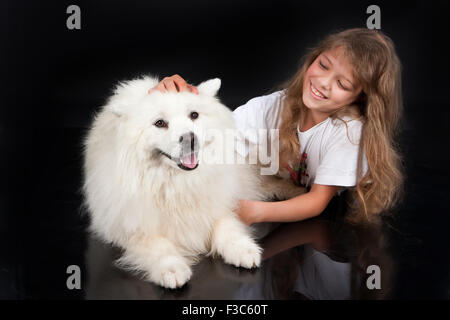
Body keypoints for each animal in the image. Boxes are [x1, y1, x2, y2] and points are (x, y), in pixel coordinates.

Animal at [82, 76, 304, 288]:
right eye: (160, 123)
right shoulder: (132, 227)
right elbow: (158, 246)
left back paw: (297, 191)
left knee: (271, 183)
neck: (179, 184)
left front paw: (242, 248)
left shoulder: (219, 203)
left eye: (194, 115)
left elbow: (226, 224)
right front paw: (172, 268)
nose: (190, 139)